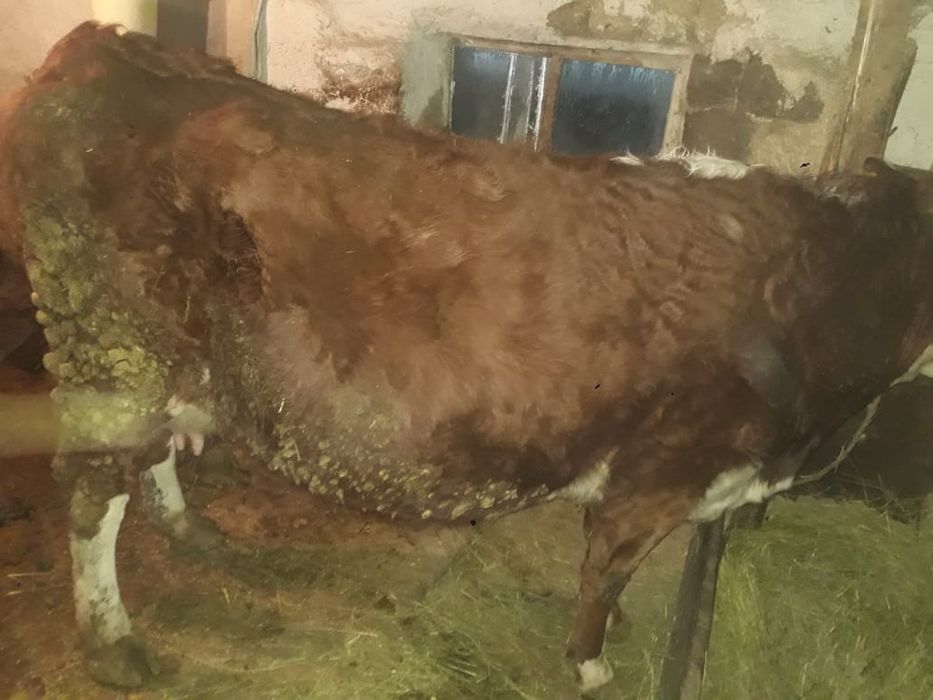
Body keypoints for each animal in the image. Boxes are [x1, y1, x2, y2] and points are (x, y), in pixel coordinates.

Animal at [1, 23, 931, 691]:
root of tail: (105, 44)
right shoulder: (661, 472)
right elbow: (606, 573)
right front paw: (592, 661)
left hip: (155, 355)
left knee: (150, 455)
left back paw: (192, 530)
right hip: (108, 345)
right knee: (91, 496)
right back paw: (113, 645)